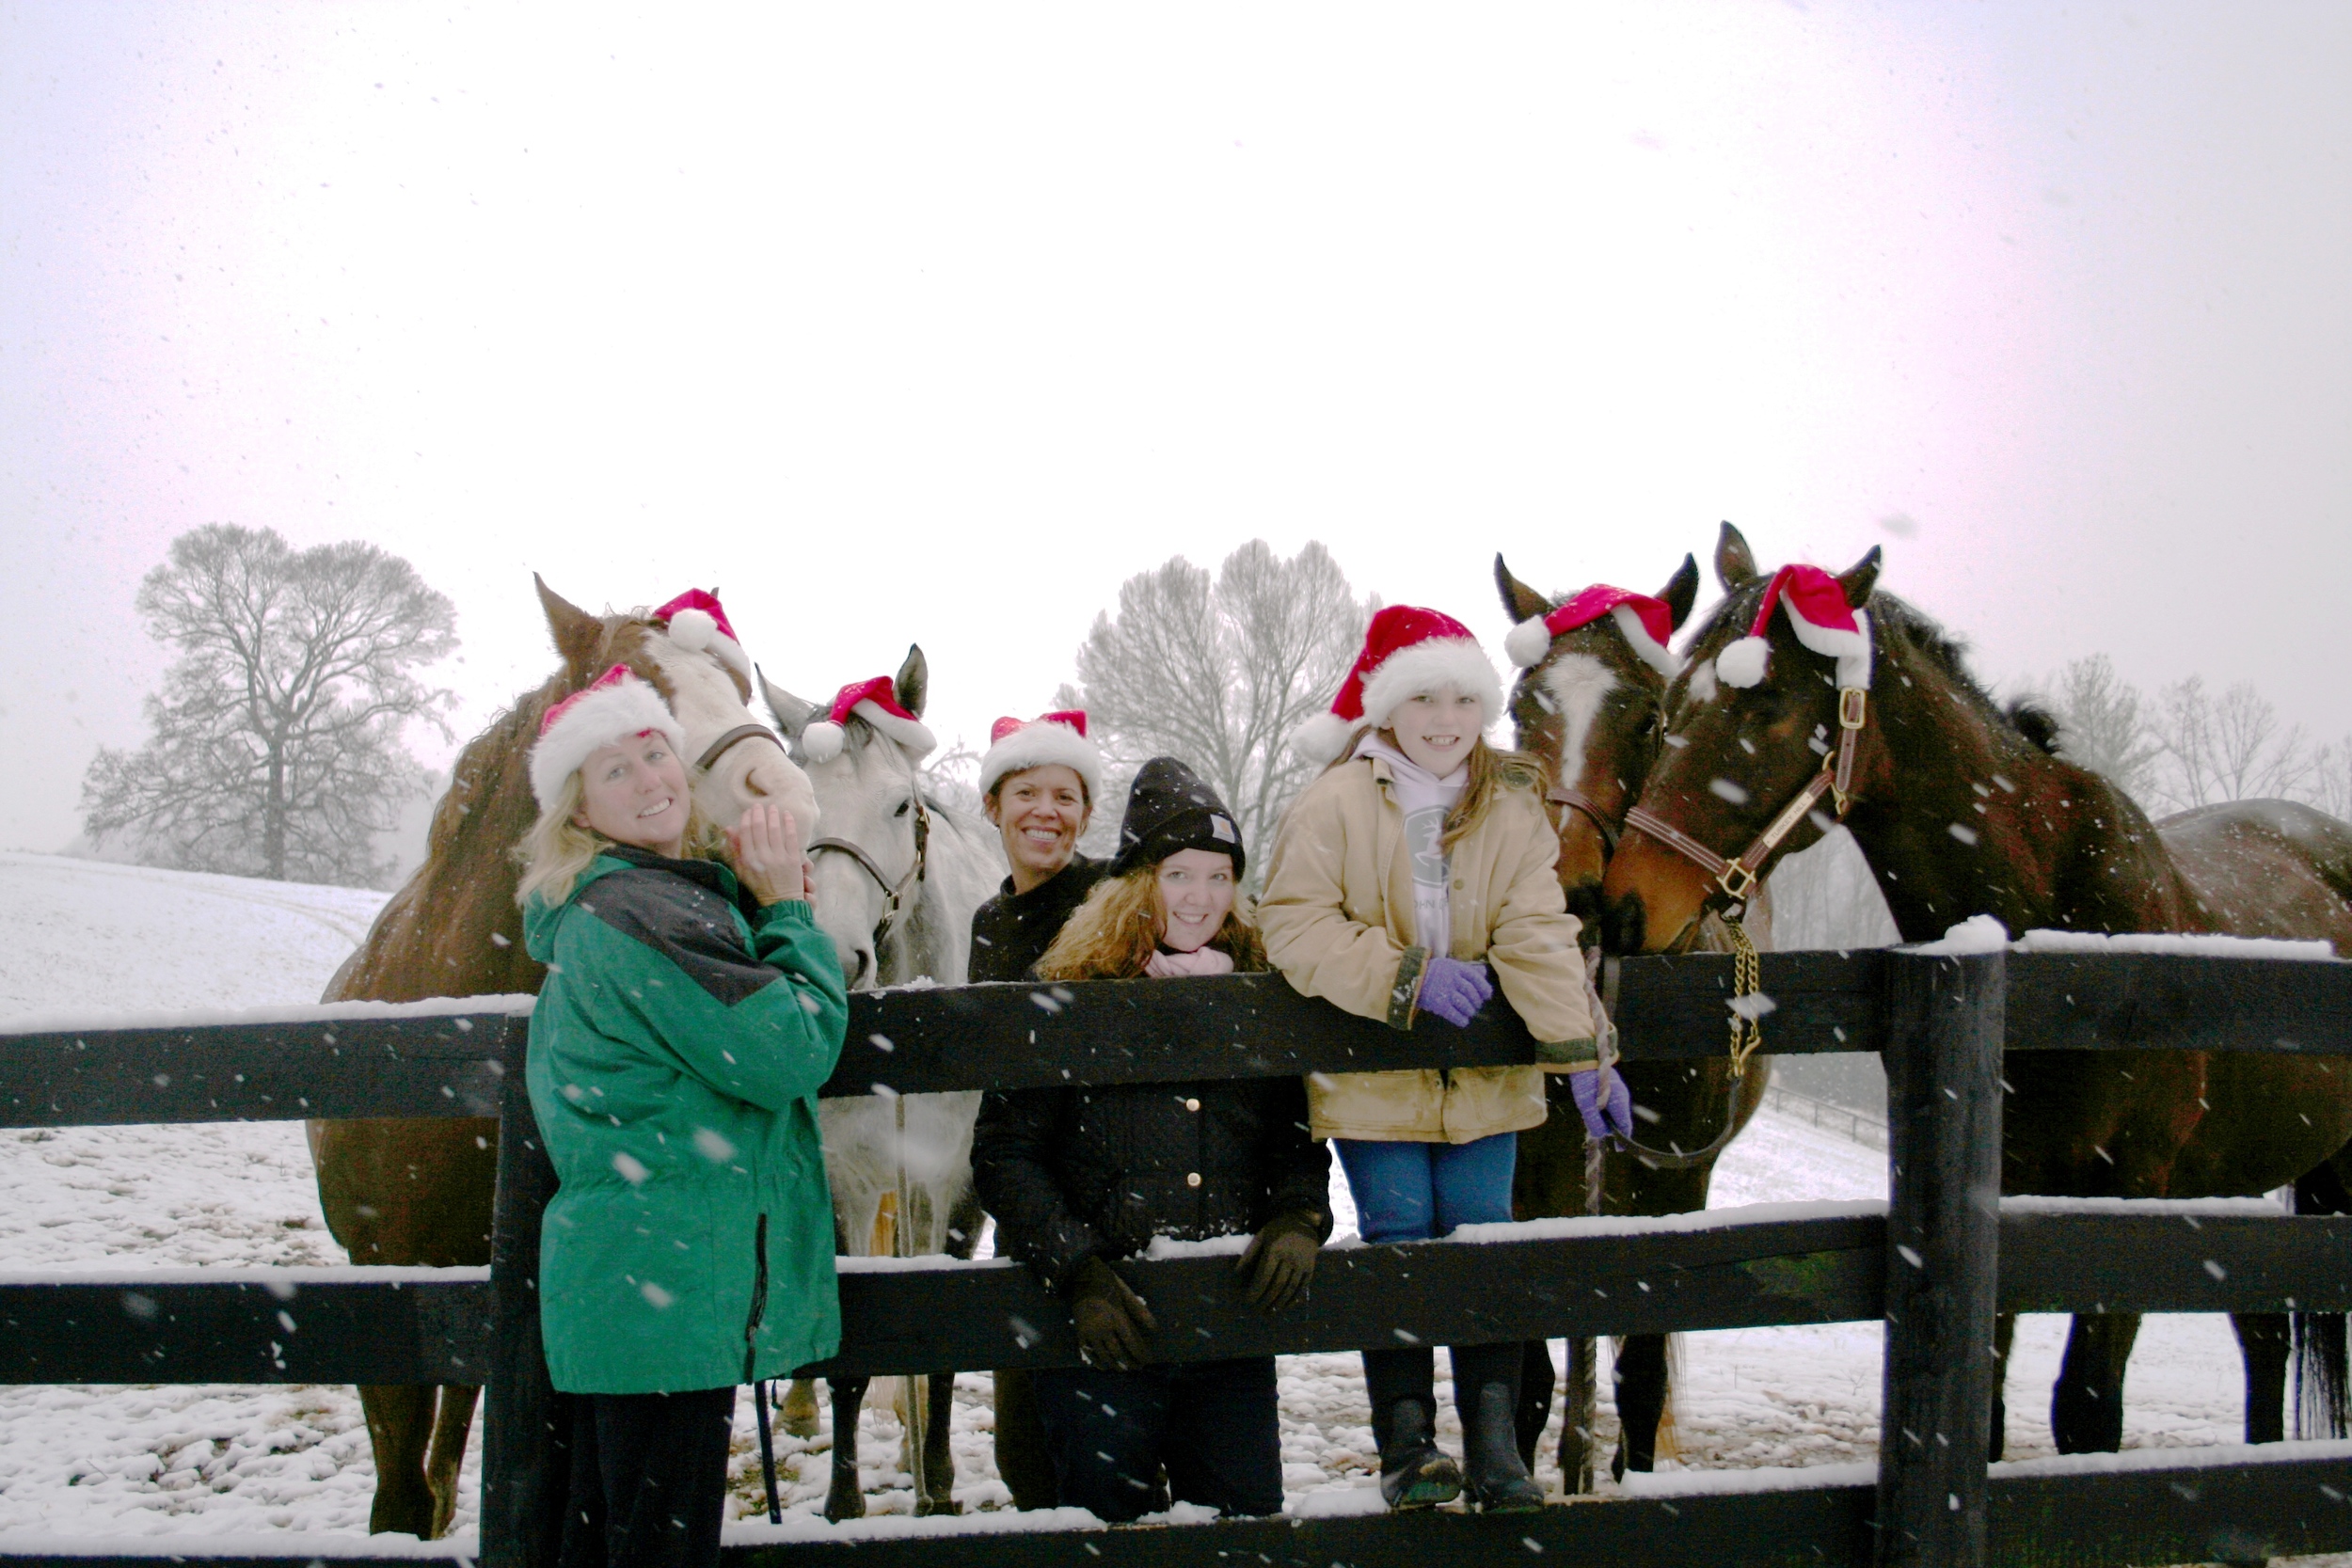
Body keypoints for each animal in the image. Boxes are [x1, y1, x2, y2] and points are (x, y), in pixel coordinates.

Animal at [762, 648, 1002, 1523]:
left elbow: (947, 1333)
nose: (837, 957)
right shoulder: (845, 1180)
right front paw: (843, 1500)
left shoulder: (957, 1179)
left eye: (901, 804)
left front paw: (940, 1482)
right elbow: (853, 1350)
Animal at [1496, 543, 1769, 1485]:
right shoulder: (1528, 1198)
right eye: (1522, 707)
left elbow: (1642, 1383)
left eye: (1649, 717)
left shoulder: (1672, 1194)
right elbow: (1533, 1383)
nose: (1568, 888)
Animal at [1590, 540, 2352, 1457]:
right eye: (1669, 705)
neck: (2045, 946)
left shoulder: (2130, 1197)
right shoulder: (2006, 1191)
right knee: (2265, 1329)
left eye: (1767, 702)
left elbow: (2088, 1413)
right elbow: (1980, 1412)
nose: (1624, 905)